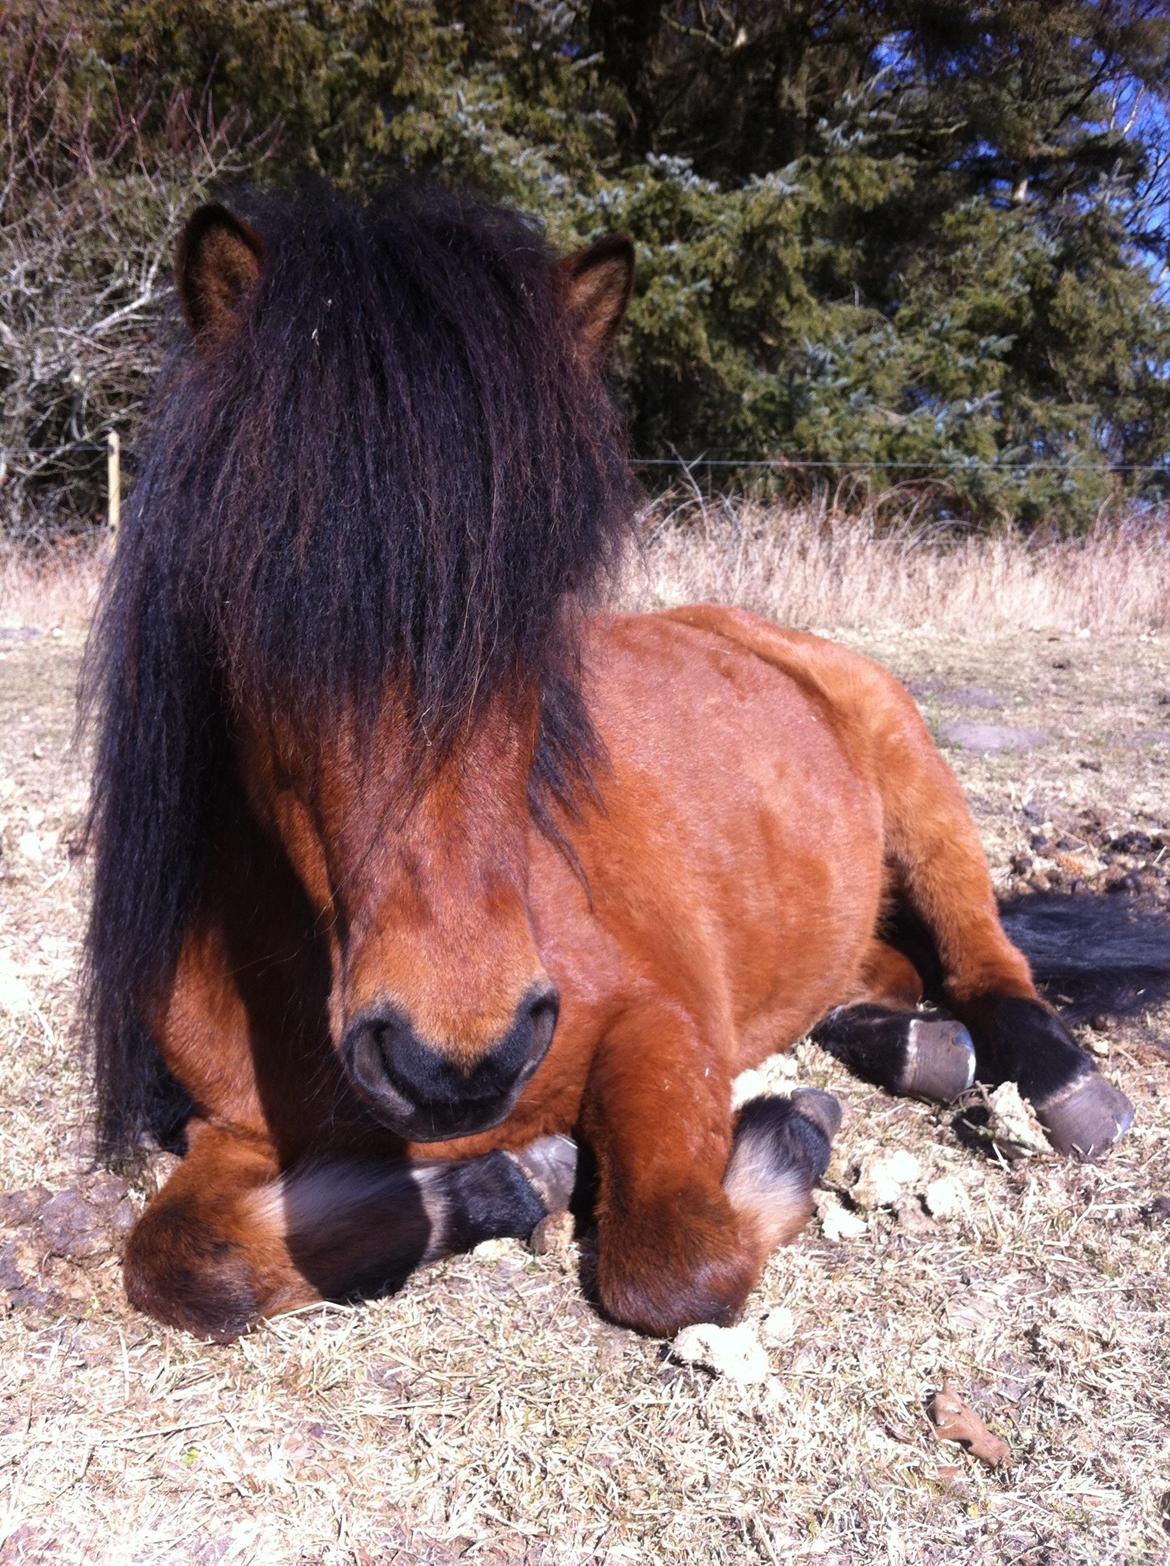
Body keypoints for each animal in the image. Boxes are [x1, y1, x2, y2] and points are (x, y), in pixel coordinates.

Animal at [84, 183, 1133, 1334]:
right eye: (265, 600)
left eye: (544, 608)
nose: (459, 1059)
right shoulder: (235, 1132)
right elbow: (182, 1260)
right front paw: (498, 1183)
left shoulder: (660, 1026)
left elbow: (675, 1258)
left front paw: (785, 1137)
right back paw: (906, 1041)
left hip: (924, 794)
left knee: (988, 964)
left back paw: (1060, 1085)